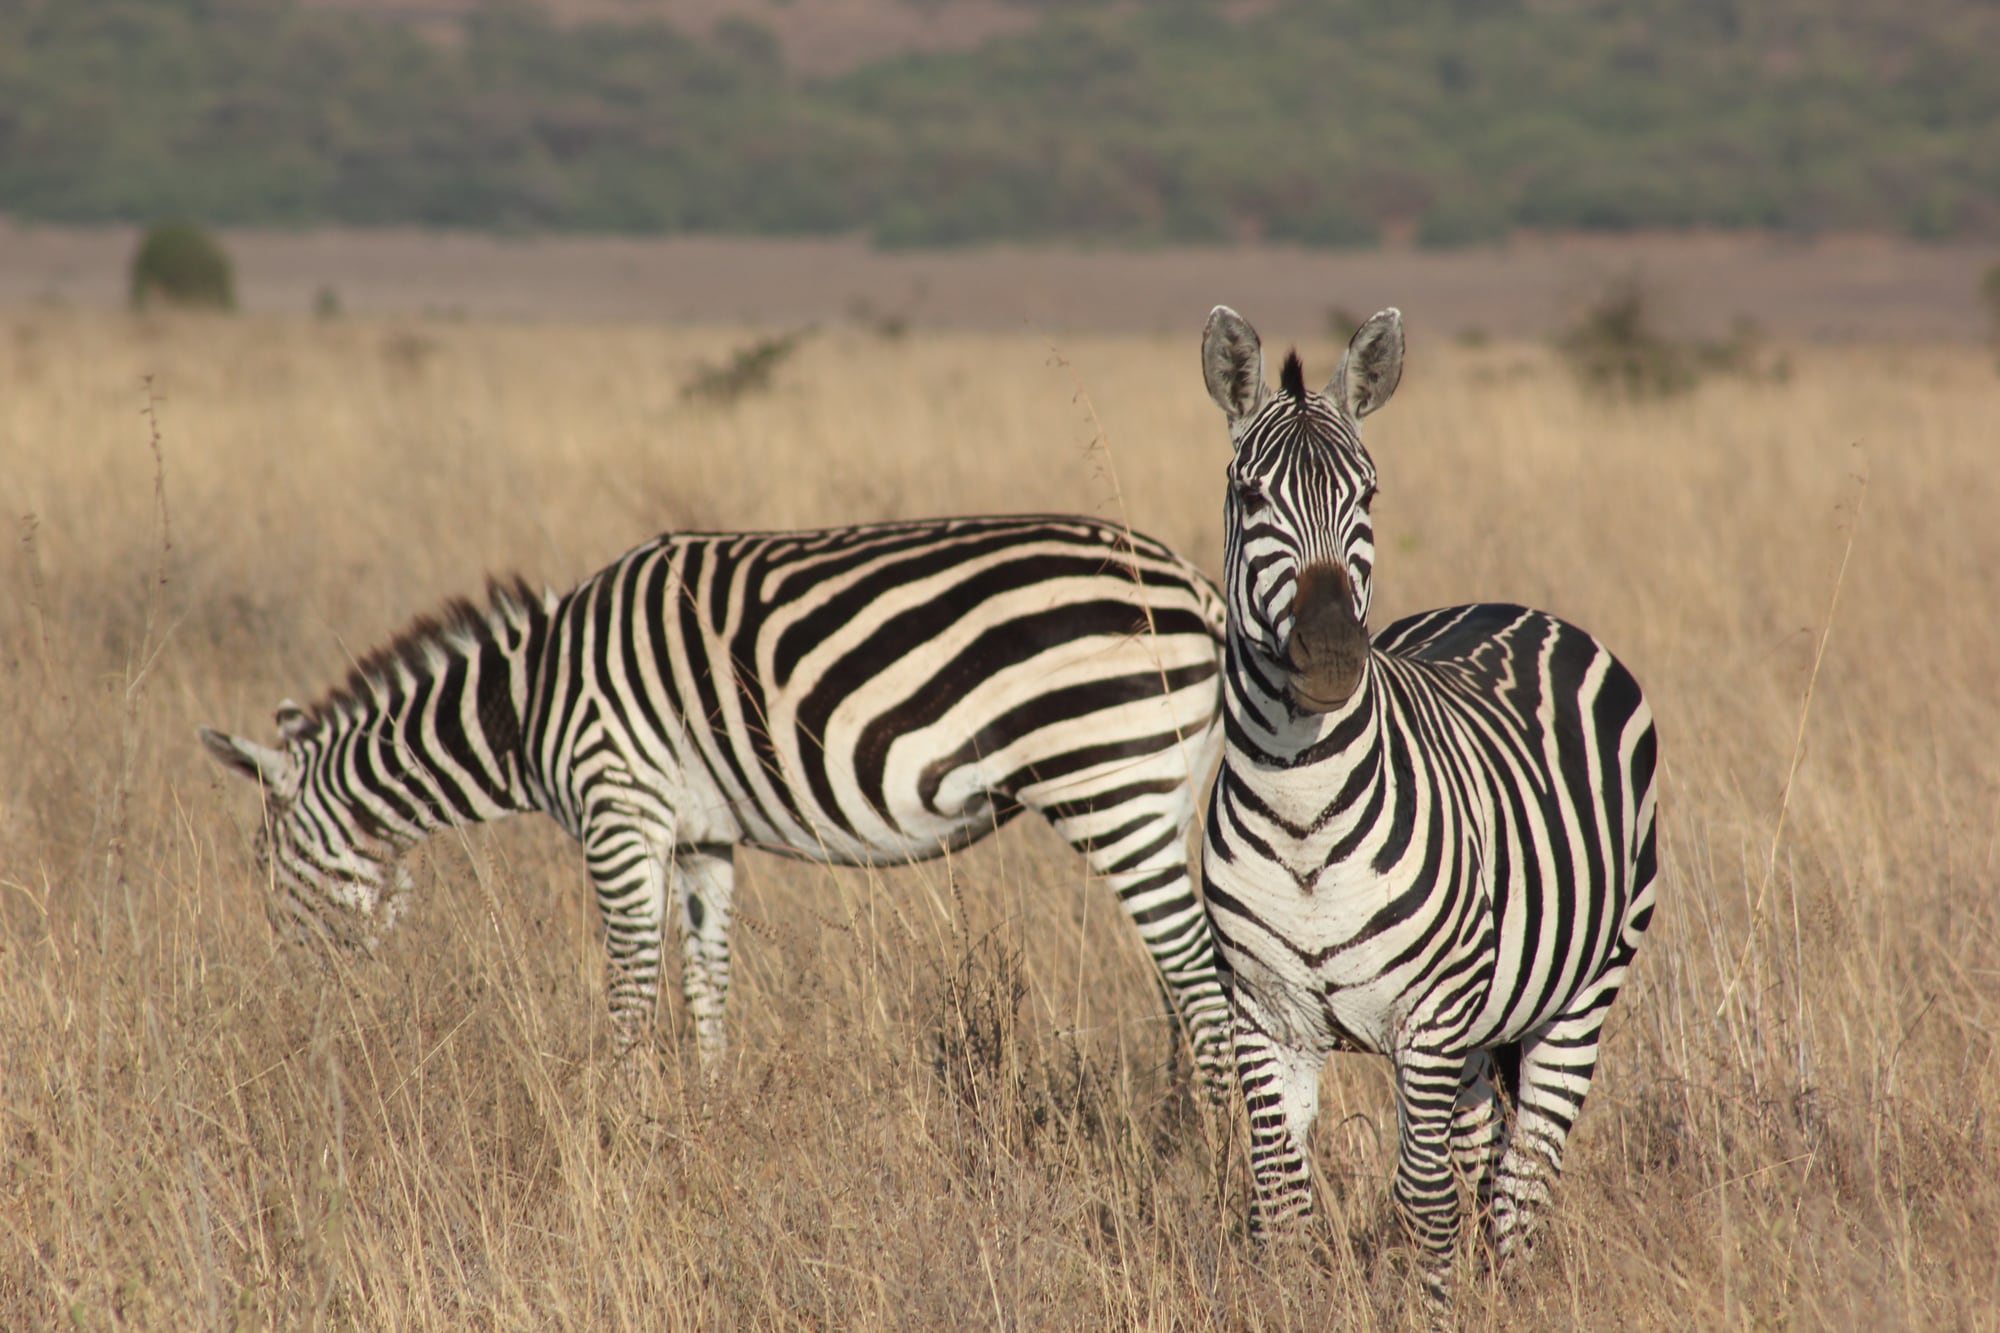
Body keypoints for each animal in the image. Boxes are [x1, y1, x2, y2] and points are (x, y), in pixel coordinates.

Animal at [200, 514, 1235, 1092]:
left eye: (269, 874)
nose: (292, 1024)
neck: (528, 705)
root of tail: (1198, 588)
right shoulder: (701, 838)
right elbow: (707, 981)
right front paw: (706, 1113)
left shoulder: (620, 811)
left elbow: (629, 984)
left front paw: (620, 1125)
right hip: (1160, 794)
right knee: (1190, 981)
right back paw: (1175, 1135)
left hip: (1110, 781)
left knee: (1199, 980)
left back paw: (1207, 1154)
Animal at [1196, 305, 1659, 1301]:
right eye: (1249, 496)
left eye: (1368, 495)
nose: (1332, 653)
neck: (1302, 812)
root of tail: (1514, 605)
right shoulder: (1263, 1014)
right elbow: (1282, 1207)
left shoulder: (1429, 1019)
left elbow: (1422, 1203)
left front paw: (1430, 1307)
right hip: (1481, 1029)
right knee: (1485, 1153)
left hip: (1583, 988)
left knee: (1522, 1182)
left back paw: (1512, 1291)